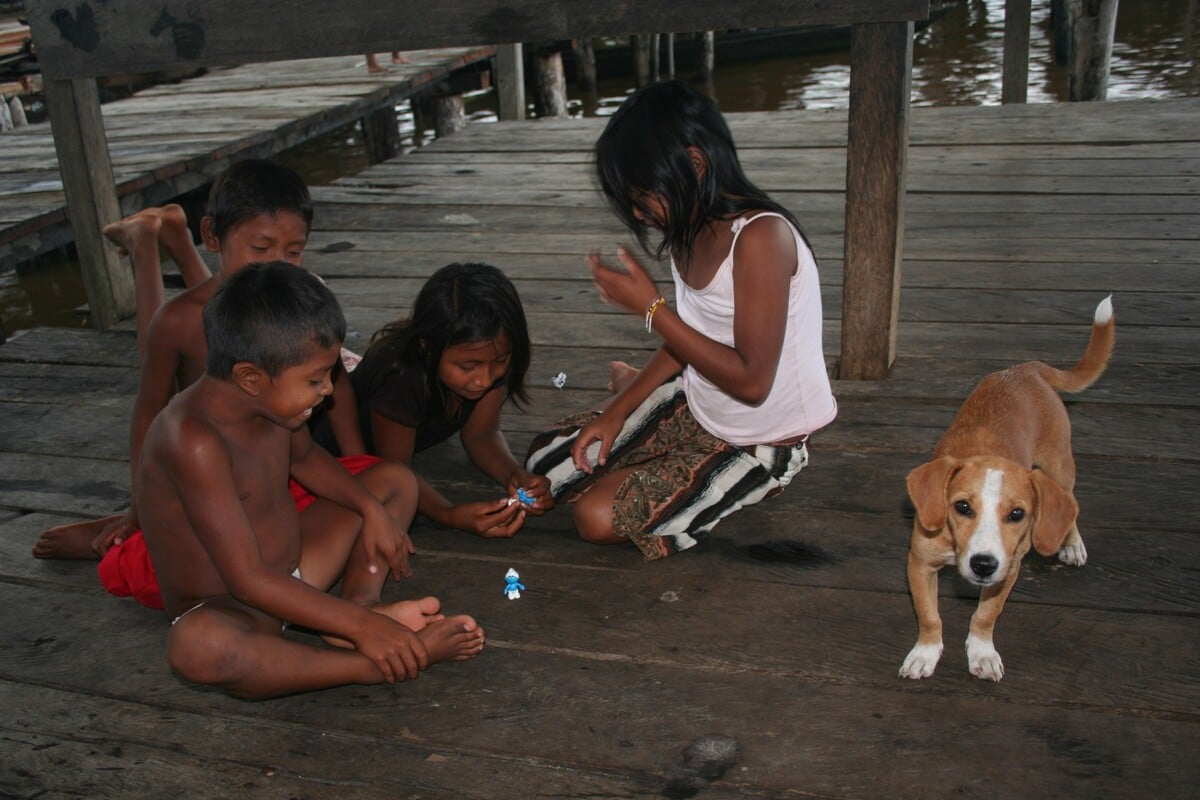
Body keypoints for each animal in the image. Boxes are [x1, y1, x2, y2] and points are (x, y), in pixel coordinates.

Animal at [902, 293, 1113, 681]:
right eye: (962, 506)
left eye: (1017, 514)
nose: (984, 565)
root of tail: (1026, 368)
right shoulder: (920, 563)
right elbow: (929, 615)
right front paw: (925, 653)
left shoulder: (1010, 568)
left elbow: (986, 615)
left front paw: (982, 653)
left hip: (1059, 465)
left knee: (1071, 504)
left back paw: (1072, 544)